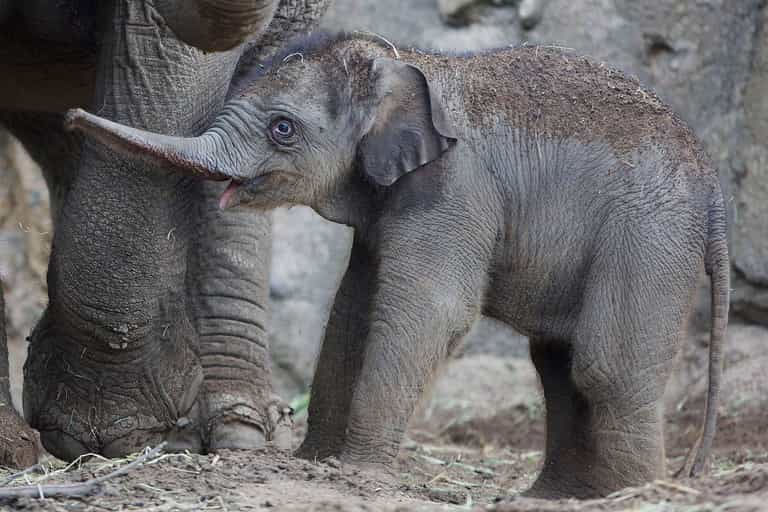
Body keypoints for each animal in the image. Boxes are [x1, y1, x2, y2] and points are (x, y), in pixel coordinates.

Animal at [65, 32, 730, 498]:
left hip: (650, 234)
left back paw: (637, 493)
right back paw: (554, 498)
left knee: (604, 365)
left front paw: (359, 472)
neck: (409, 63)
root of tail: (711, 180)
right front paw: (314, 465)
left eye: (283, 129)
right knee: (558, 363)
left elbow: (432, 309)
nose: (72, 117)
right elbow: (350, 316)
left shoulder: (454, 189)